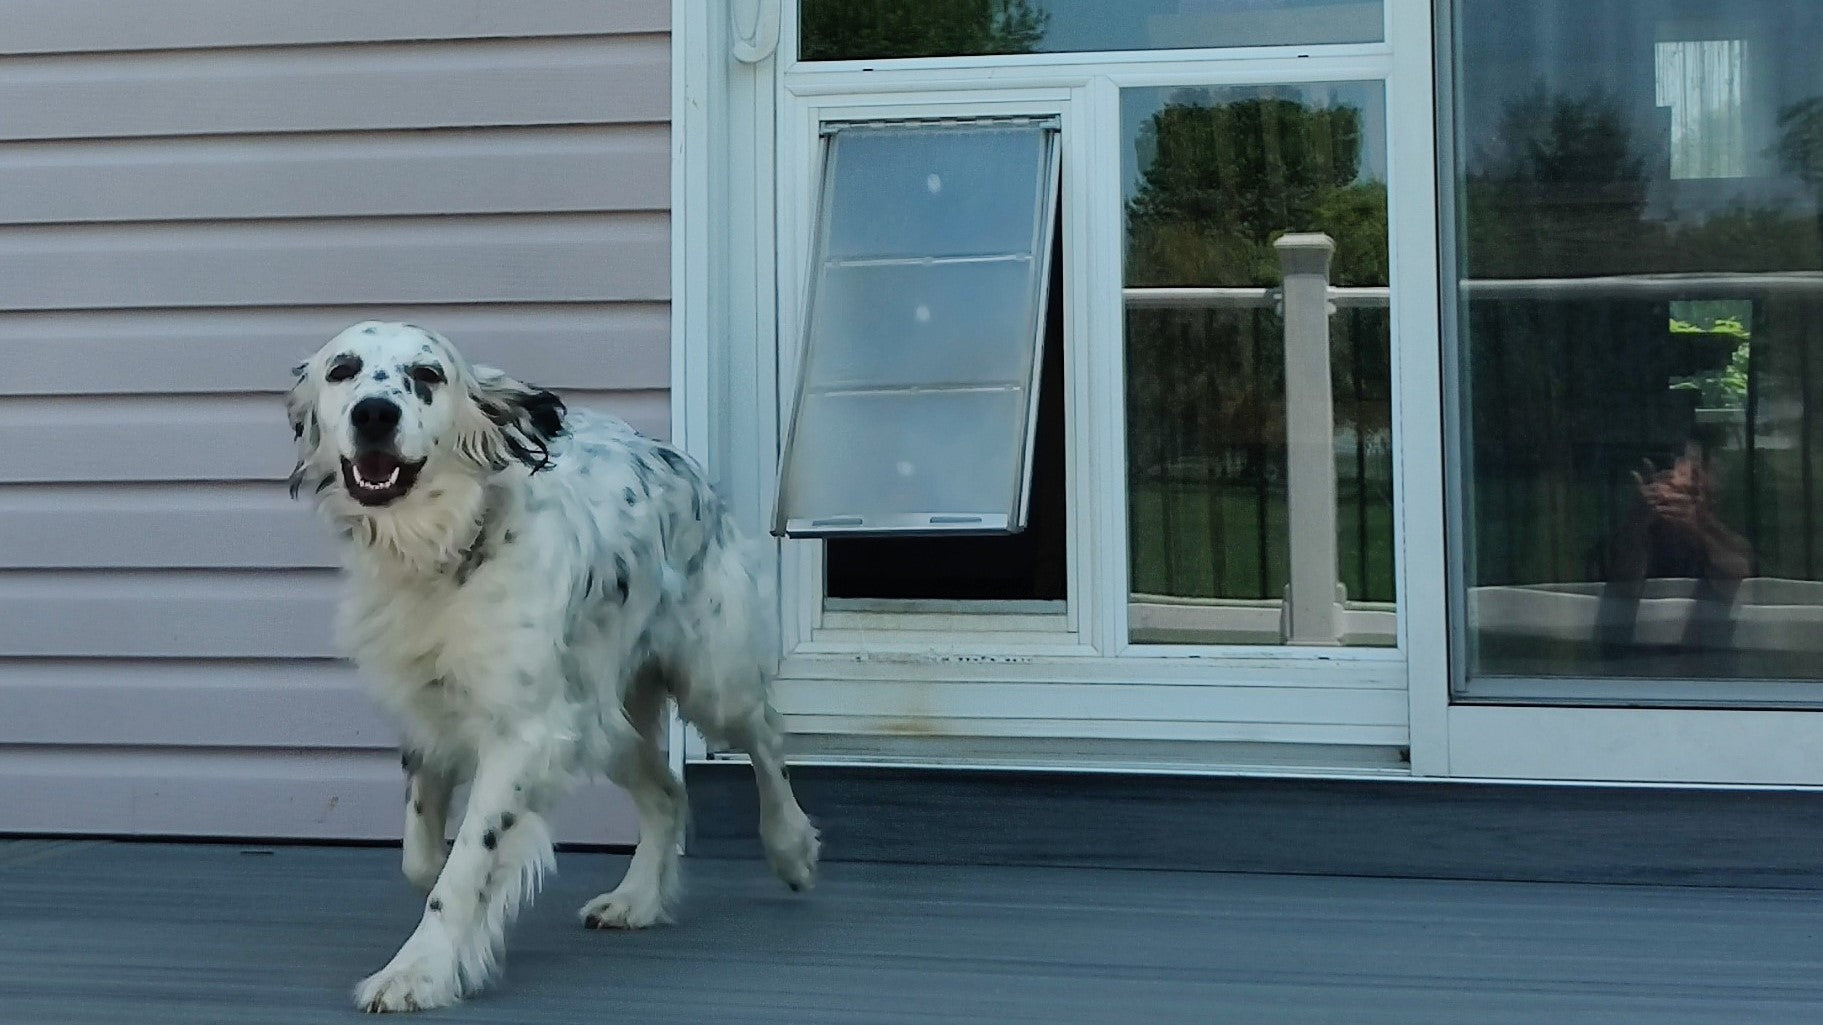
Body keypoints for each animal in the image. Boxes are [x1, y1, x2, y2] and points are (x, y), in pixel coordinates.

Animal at [286, 319, 820, 1006]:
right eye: (342, 370)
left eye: (428, 375)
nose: (374, 414)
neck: (442, 551)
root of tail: (680, 460)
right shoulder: (430, 712)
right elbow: (422, 856)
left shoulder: (523, 732)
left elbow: (463, 867)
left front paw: (419, 970)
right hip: (600, 716)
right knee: (669, 793)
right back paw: (635, 899)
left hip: (711, 679)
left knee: (766, 737)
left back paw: (791, 848)